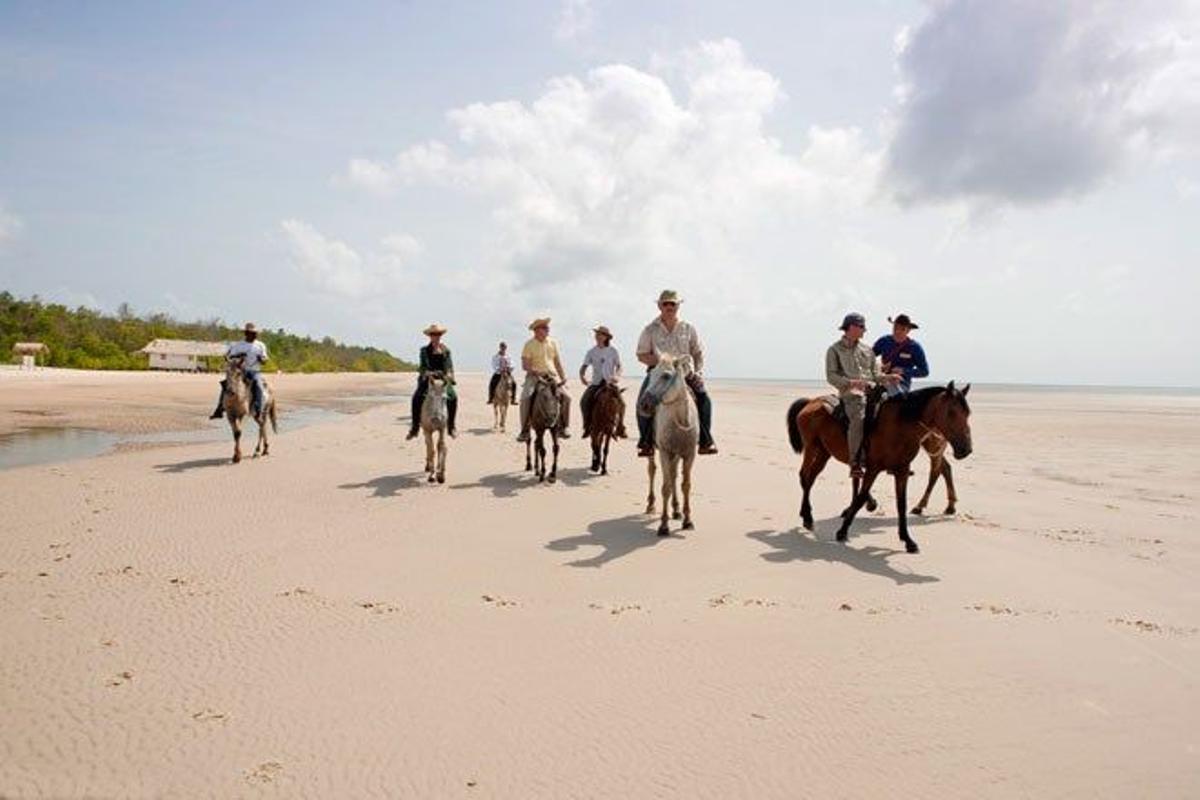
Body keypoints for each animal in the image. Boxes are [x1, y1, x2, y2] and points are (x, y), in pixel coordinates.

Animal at [633, 352, 700, 534]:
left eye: (666, 376)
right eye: (651, 375)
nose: (644, 405)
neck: (681, 421)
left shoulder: (689, 454)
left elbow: (685, 485)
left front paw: (687, 521)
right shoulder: (665, 452)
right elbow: (666, 487)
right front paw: (663, 525)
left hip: (676, 455)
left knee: (674, 475)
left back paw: (676, 510)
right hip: (654, 451)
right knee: (652, 471)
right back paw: (650, 505)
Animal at [787, 383, 974, 554]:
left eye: (967, 413)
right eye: (951, 412)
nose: (966, 449)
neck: (899, 425)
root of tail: (810, 402)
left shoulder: (902, 471)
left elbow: (901, 504)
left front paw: (907, 540)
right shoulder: (873, 468)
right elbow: (861, 496)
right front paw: (843, 530)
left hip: (824, 452)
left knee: (811, 477)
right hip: (811, 448)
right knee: (805, 477)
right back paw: (807, 517)